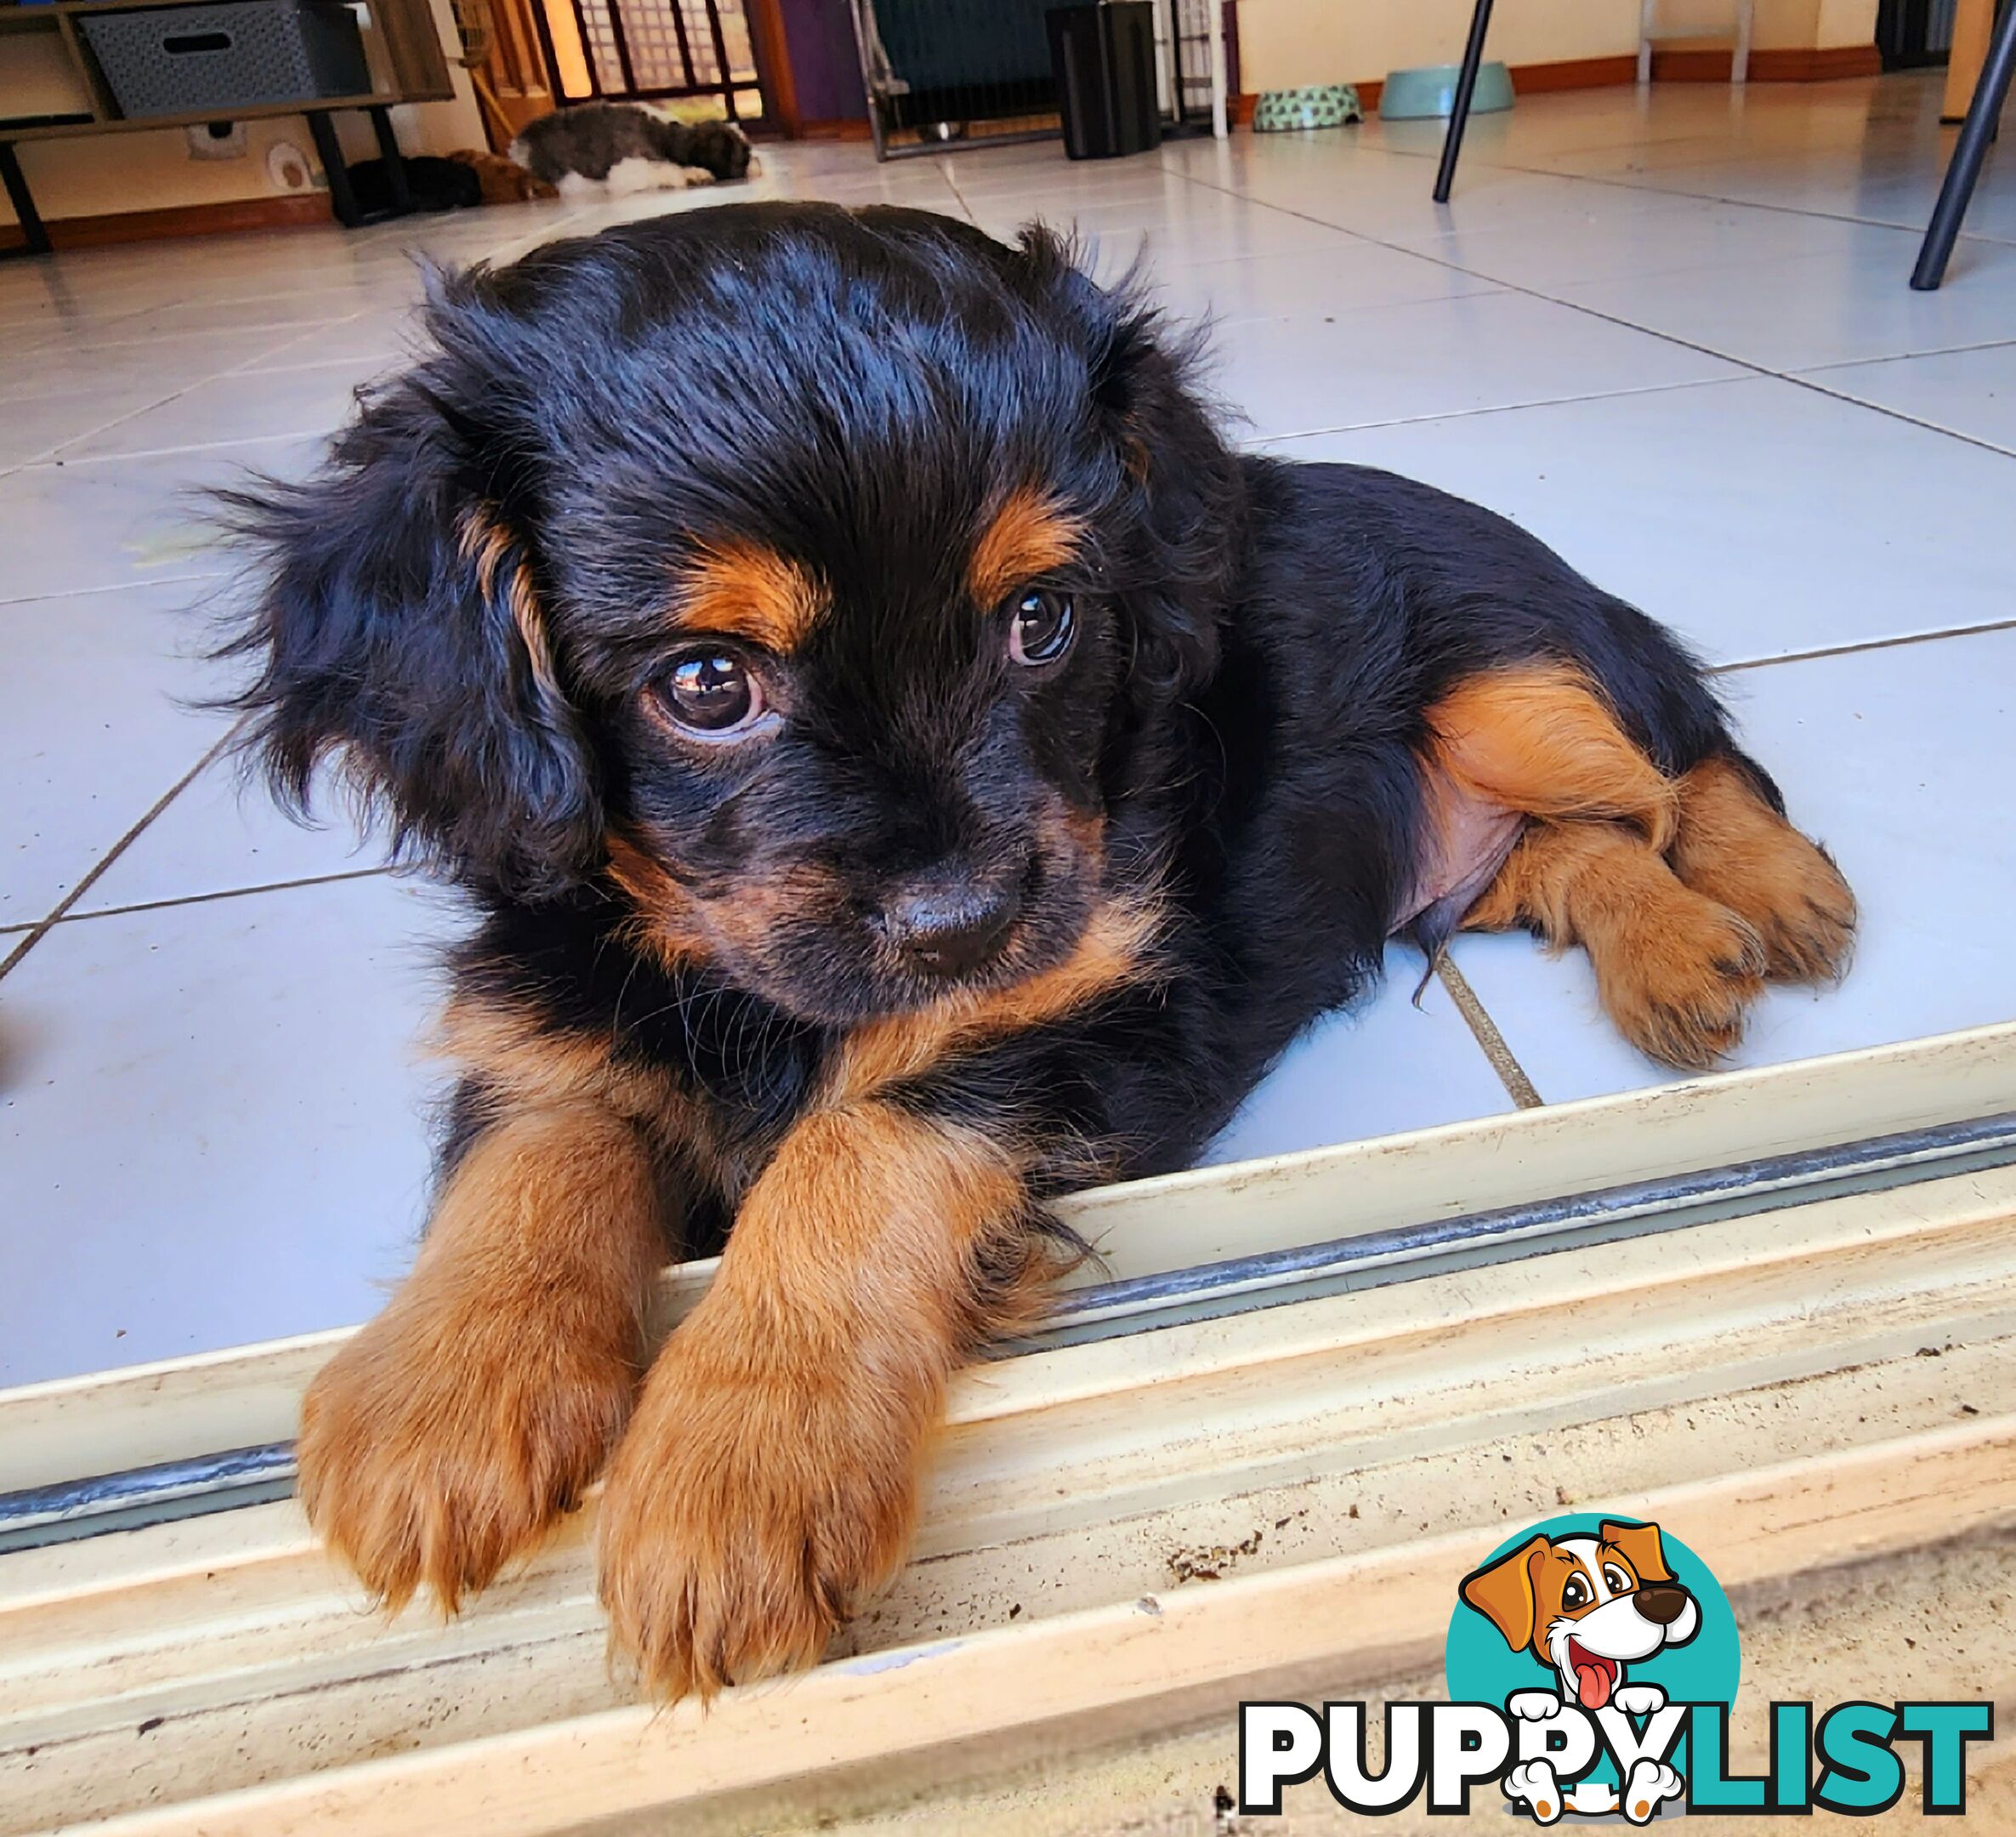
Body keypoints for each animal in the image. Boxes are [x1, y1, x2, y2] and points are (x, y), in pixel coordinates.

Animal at [216, 197, 1846, 1693]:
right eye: (705, 685)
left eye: (1044, 620)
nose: (966, 923)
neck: (748, 995)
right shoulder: (554, 996)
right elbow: (544, 1136)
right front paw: (443, 1393)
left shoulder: (1099, 999)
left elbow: (862, 1135)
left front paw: (741, 1455)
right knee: (1580, 851)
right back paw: (1675, 958)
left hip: (1518, 679)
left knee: (1684, 764)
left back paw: (1771, 900)